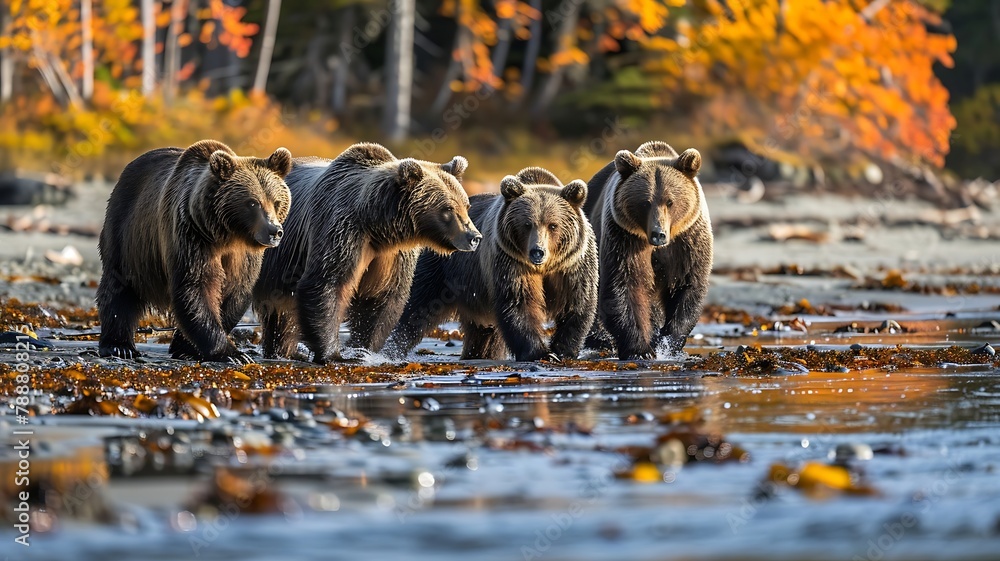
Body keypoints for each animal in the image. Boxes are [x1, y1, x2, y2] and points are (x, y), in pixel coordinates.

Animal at [97, 139, 293, 363]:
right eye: (252, 203)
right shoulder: (192, 236)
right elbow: (196, 287)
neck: (227, 236)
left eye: (277, 202)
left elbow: (234, 292)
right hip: (126, 235)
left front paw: (186, 347)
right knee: (118, 288)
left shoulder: (244, 255)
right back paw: (118, 346)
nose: (274, 231)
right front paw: (233, 354)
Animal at [251, 143, 481, 364]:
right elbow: (328, 283)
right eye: (448, 209)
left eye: (466, 205)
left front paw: (364, 349)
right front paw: (332, 353)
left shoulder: (392, 256)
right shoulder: (341, 231)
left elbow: (380, 299)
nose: (474, 236)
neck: (377, 226)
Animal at [384, 167, 599, 362]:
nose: (537, 251)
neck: (544, 267)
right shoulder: (510, 262)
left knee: (484, 333)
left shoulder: (572, 266)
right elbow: (519, 302)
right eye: (527, 224)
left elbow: (576, 303)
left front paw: (562, 351)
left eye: (553, 225)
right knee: (417, 310)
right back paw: (391, 349)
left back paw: (479, 354)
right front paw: (540, 352)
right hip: (442, 270)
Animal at [584, 140, 713, 360]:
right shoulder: (624, 238)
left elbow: (688, 286)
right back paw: (598, 340)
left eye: (670, 201)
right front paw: (640, 350)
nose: (658, 234)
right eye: (645, 202)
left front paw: (667, 343)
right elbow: (624, 285)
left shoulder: (688, 241)